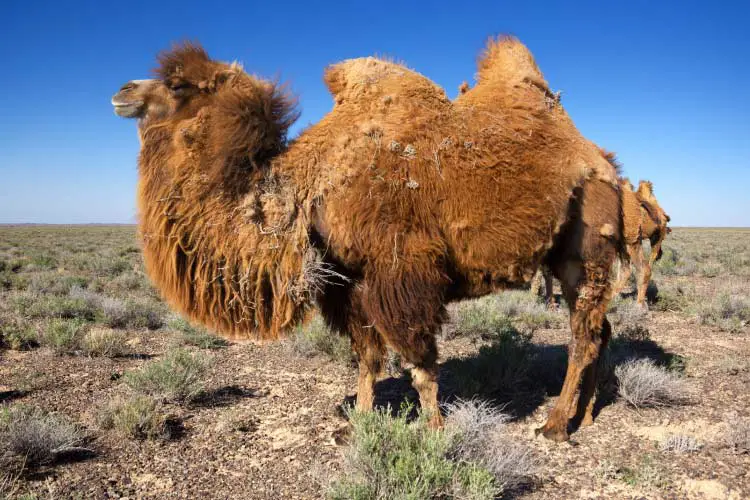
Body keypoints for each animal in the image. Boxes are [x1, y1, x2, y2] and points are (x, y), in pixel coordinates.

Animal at [113, 37, 624, 440]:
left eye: (178, 85)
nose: (121, 91)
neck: (307, 187)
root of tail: (601, 160)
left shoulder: (402, 272)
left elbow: (419, 363)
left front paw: (434, 431)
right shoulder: (350, 285)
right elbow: (367, 359)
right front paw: (357, 425)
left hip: (587, 245)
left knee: (582, 334)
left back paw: (555, 425)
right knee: (600, 330)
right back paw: (585, 416)